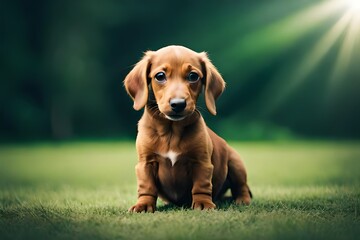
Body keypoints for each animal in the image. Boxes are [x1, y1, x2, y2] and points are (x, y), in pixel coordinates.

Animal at [125, 45, 252, 212]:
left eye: (193, 76)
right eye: (160, 76)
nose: (178, 104)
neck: (171, 131)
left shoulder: (202, 163)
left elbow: (201, 186)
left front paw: (203, 203)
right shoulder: (145, 163)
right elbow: (147, 187)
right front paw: (144, 204)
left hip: (235, 162)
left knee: (241, 186)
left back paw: (242, 200)